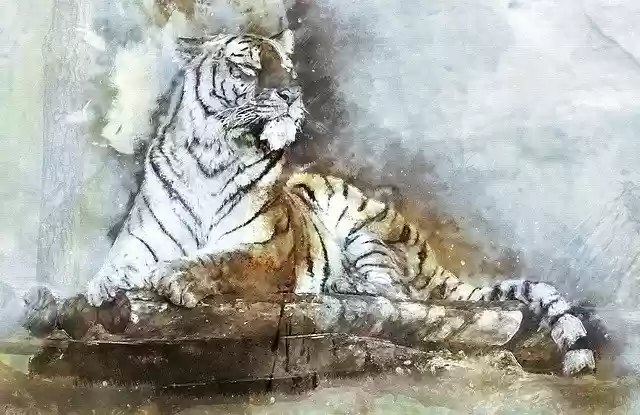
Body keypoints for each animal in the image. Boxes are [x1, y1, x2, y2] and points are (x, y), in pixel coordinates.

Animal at [76, 29, 596, 376]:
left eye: (288, 70)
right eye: (249, 66)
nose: (290, 94)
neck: (213, 156)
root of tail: (429, 254)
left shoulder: (267, 251)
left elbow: (220, 261)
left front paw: (175, 277)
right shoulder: (142, 239)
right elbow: (119, 262)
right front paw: (104, 285)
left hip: (361, 226)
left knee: (397, 297)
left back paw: (343, 289)